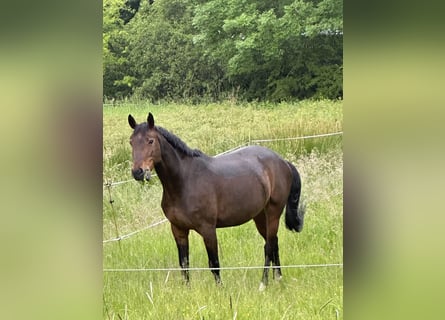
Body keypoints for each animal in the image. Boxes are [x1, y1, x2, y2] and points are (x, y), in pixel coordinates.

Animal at [126, 111, 304, 288]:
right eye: (131, 142)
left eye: (150, 140)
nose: (138, 172)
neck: (185, 180)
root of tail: (282, 161)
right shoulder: (178, 230)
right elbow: (184, 263)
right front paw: (187, 289)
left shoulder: (208, 229)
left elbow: (214, 263)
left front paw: (220, 289)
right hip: (260, 216)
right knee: (273, 243)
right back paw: (278, 278)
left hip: (273, 213)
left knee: (269, 246)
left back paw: (263, 283)